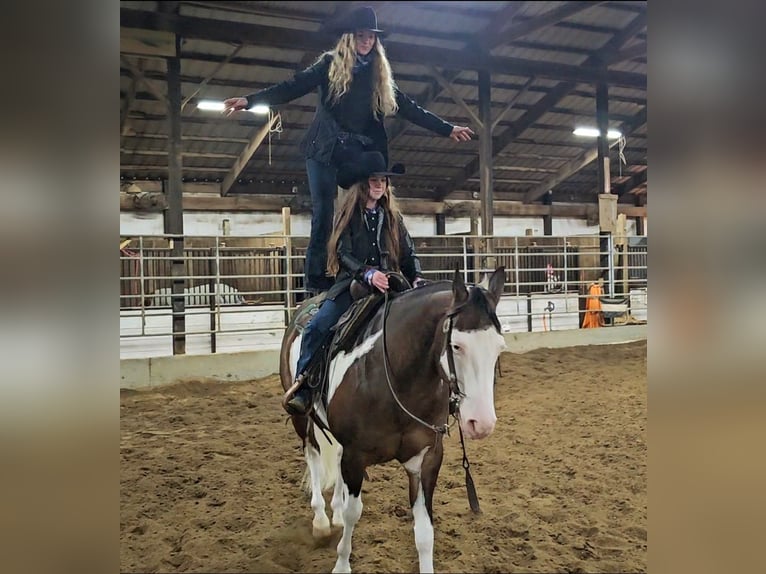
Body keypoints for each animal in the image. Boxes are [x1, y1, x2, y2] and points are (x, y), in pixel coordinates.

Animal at [280, 268, 508, 572]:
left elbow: (424, 531)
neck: (396, 379)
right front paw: (342, 564)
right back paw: (321, 520)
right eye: (457, 345)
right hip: (302, 417)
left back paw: (335, 513)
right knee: (313, 455)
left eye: (499, 347)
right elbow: (354, 513)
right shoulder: (355, 456)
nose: (482, 423)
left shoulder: (427, 459)